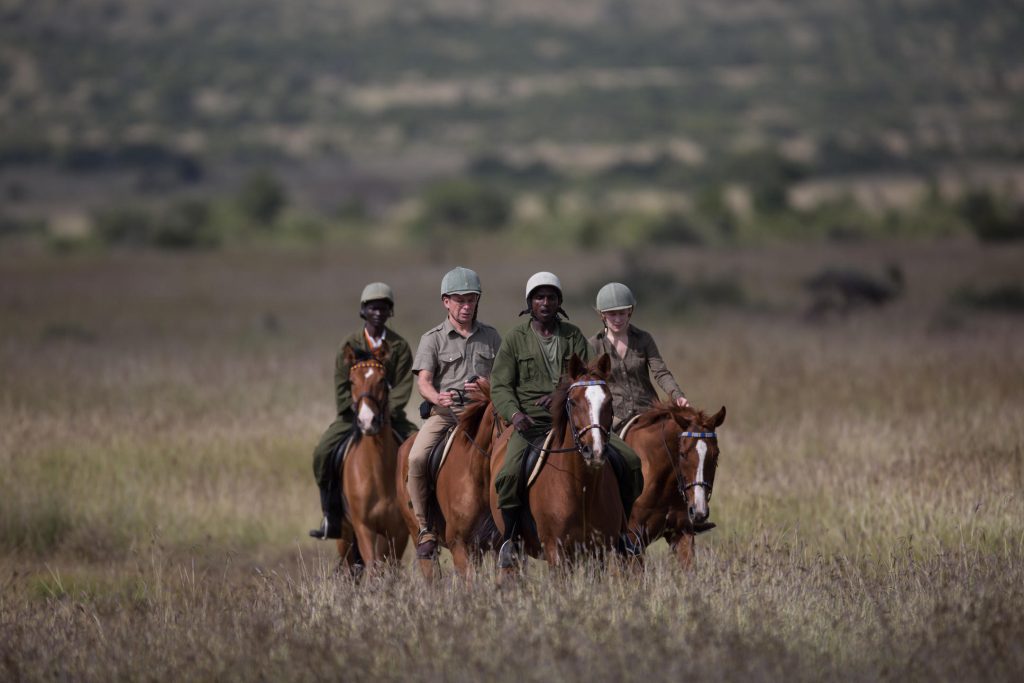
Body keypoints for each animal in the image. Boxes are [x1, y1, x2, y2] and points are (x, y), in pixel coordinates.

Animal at [339, 348, 411, 573]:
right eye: (351, 381)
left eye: (382, 380)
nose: (367, 421)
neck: (377, 472)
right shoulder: (364, 528)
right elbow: (372, 567)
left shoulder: (398, 532)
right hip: (345, 536)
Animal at [489, 352, 622, 573]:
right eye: (574, 402)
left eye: (609, 401)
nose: (595, 451)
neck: (581, 489)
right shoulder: (556, 550)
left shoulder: (599, 551)